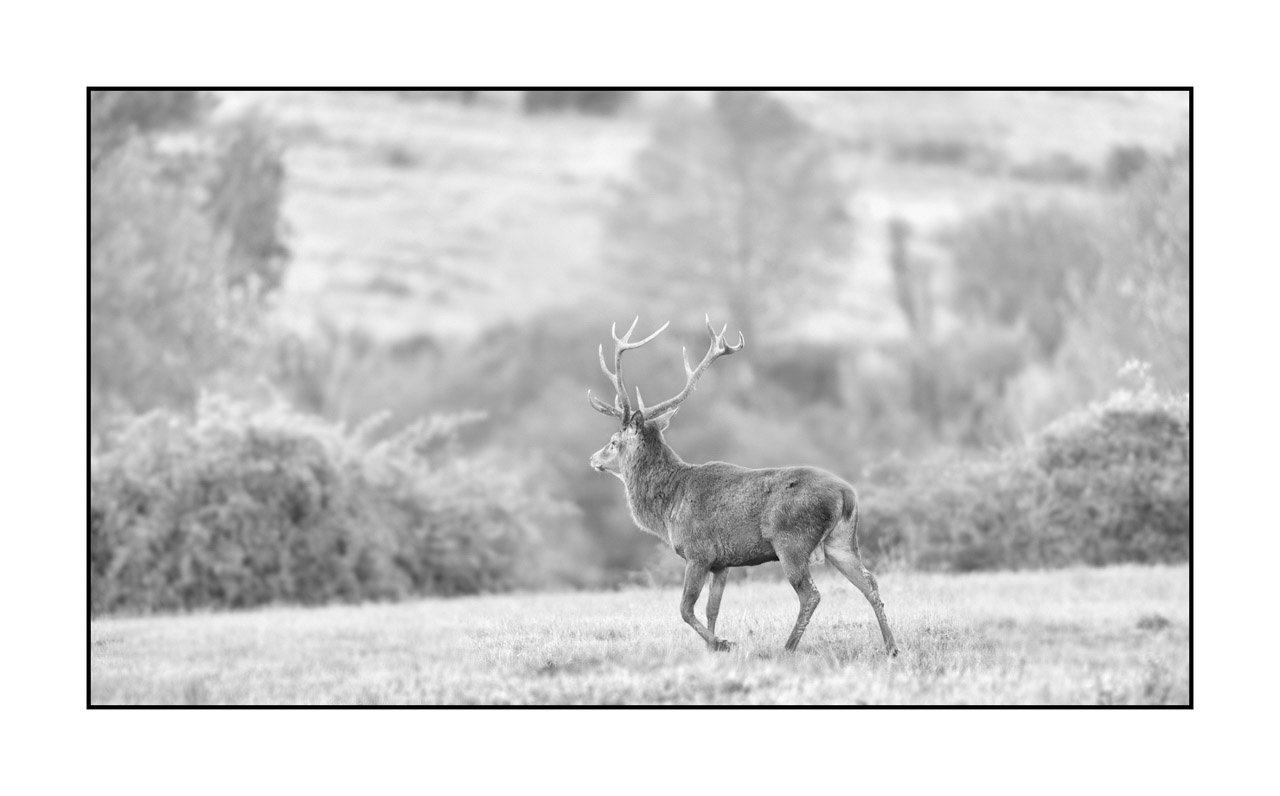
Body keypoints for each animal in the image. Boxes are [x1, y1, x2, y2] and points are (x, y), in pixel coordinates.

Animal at [588, 316, 899, 656]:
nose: (593, 458)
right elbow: (712, 609)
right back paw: (891, 646)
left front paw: (723, 642)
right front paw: (712, 647)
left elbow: (685, 609)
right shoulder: (721, 563)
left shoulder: (698, 552)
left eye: (613, 441)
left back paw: (788, 647)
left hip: (791, 540)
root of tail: (847, 494)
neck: (668, 508)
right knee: (870, 583)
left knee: (811, 594)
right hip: (841, 541)